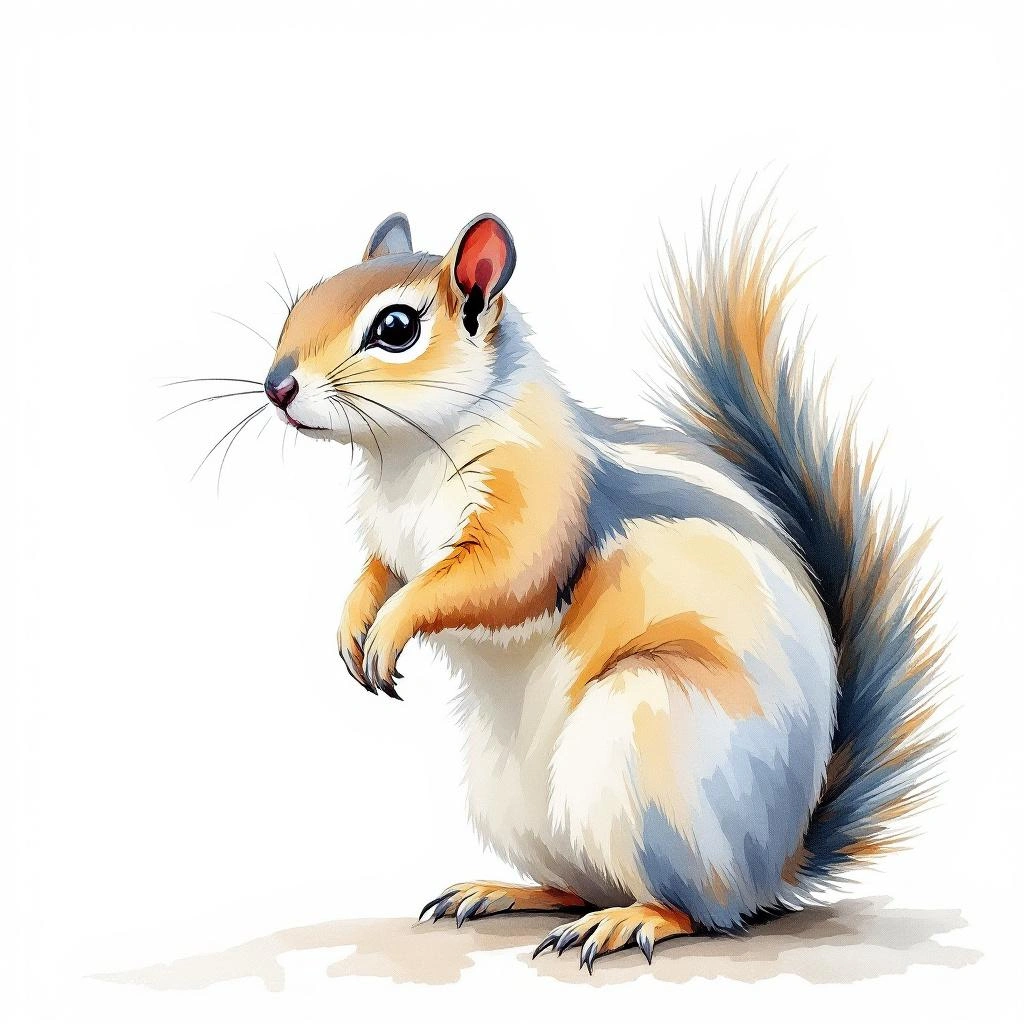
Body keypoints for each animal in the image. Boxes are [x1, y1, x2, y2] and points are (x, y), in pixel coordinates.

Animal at [258, 203, 947, 971]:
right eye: (299, 304)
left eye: (396, 328)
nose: (277, 387)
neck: (404, 456)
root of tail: (776, 865)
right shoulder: (394, 541)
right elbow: (380, 571)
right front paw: (354, 620)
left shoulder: (535, 505)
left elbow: (499, 579)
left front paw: (392, 626)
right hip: (511, 802)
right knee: (578, 882)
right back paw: (504, 892)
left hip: (648, 742)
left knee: (698, 911)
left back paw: (629, 921)